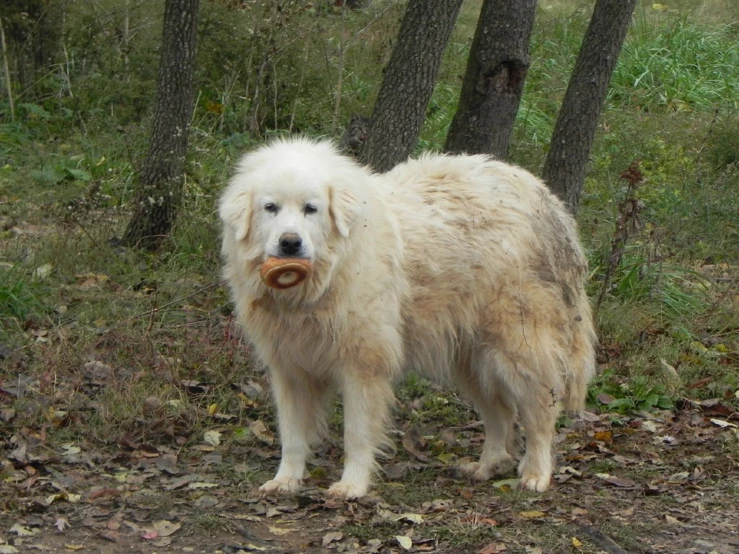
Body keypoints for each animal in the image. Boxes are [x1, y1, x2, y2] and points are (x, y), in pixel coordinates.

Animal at [218, 137, 596, 496]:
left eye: (311, 209)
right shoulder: (290, 370)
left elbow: (356, 434)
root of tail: (546, 199)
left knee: (539, 415)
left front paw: (352, 486)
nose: (290, 243)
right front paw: (285, 481)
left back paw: (535, 474)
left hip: (521, 348)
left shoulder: (363, 366)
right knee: (500, 415)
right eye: (270, 208)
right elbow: (292, 437)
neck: (322, 282)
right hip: (470, 359)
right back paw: (486, 466)